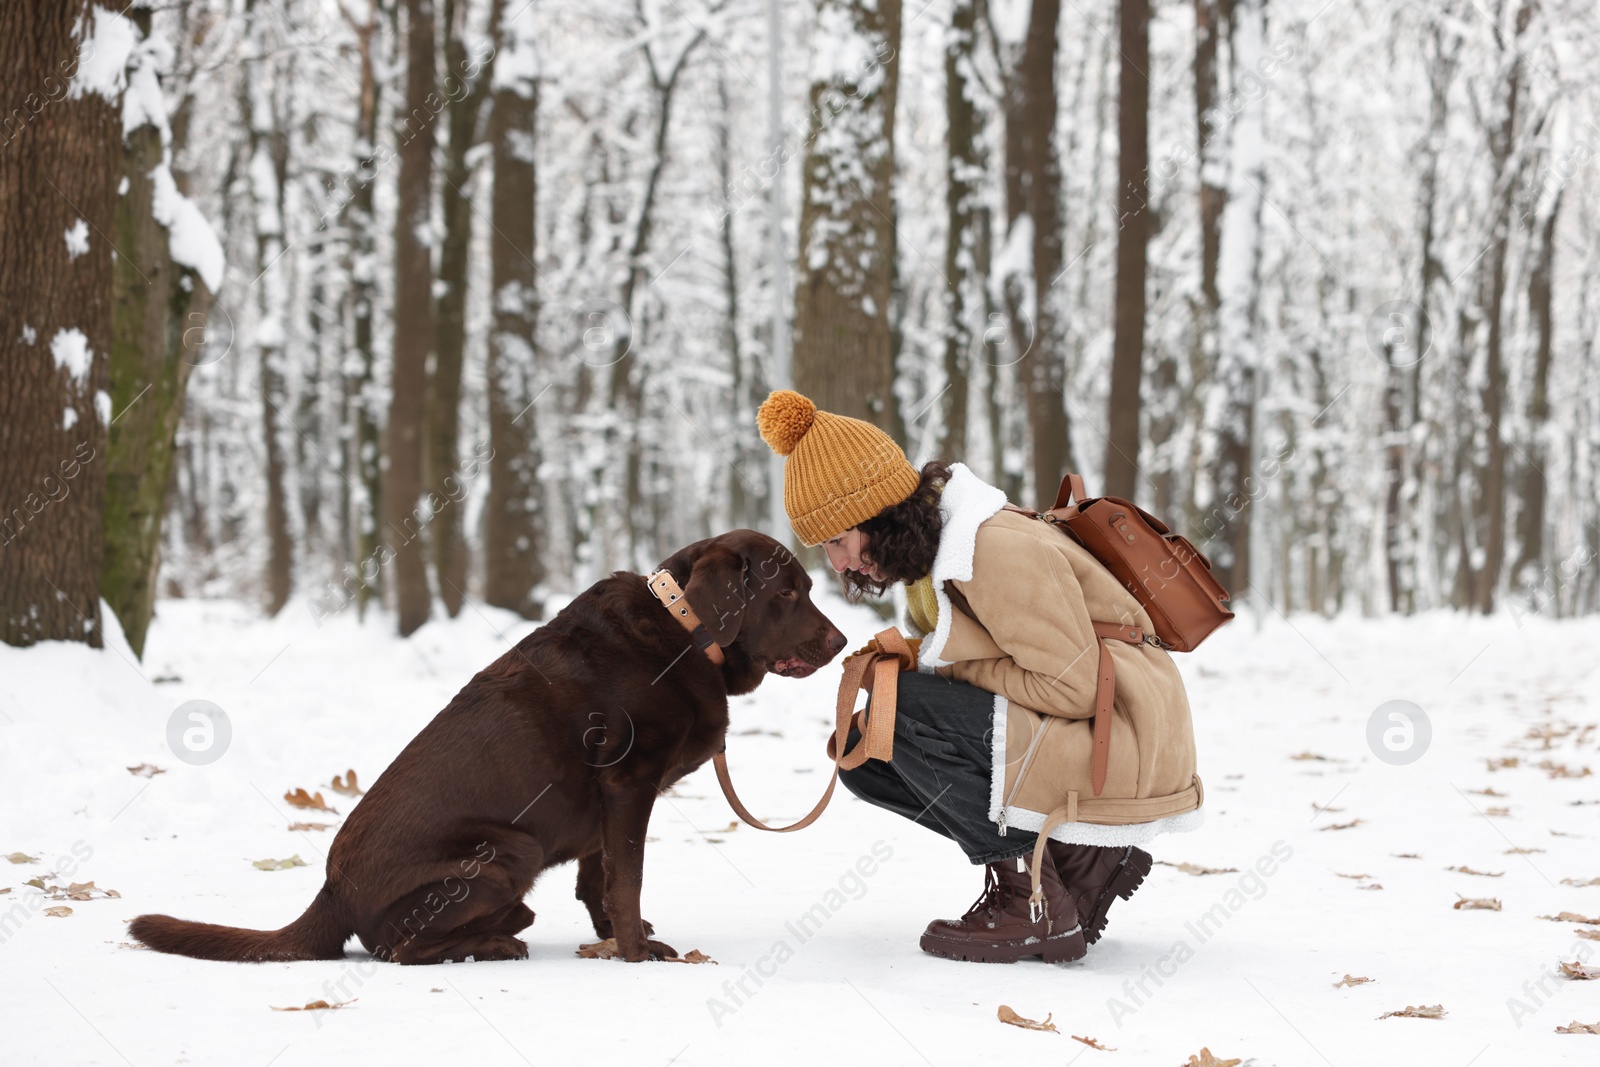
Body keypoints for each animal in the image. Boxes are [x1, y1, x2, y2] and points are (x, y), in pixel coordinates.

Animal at [131, 534, 844, 966]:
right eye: (786, 592)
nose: (840, 643)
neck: (686, 632)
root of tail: (331, 892)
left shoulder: (608, 802)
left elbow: (599, 879)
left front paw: (615, 941)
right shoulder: (628, 783)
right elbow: (628, 879)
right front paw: (636, 955)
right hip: (508, 849)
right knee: (396, 949)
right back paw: (499, 941)